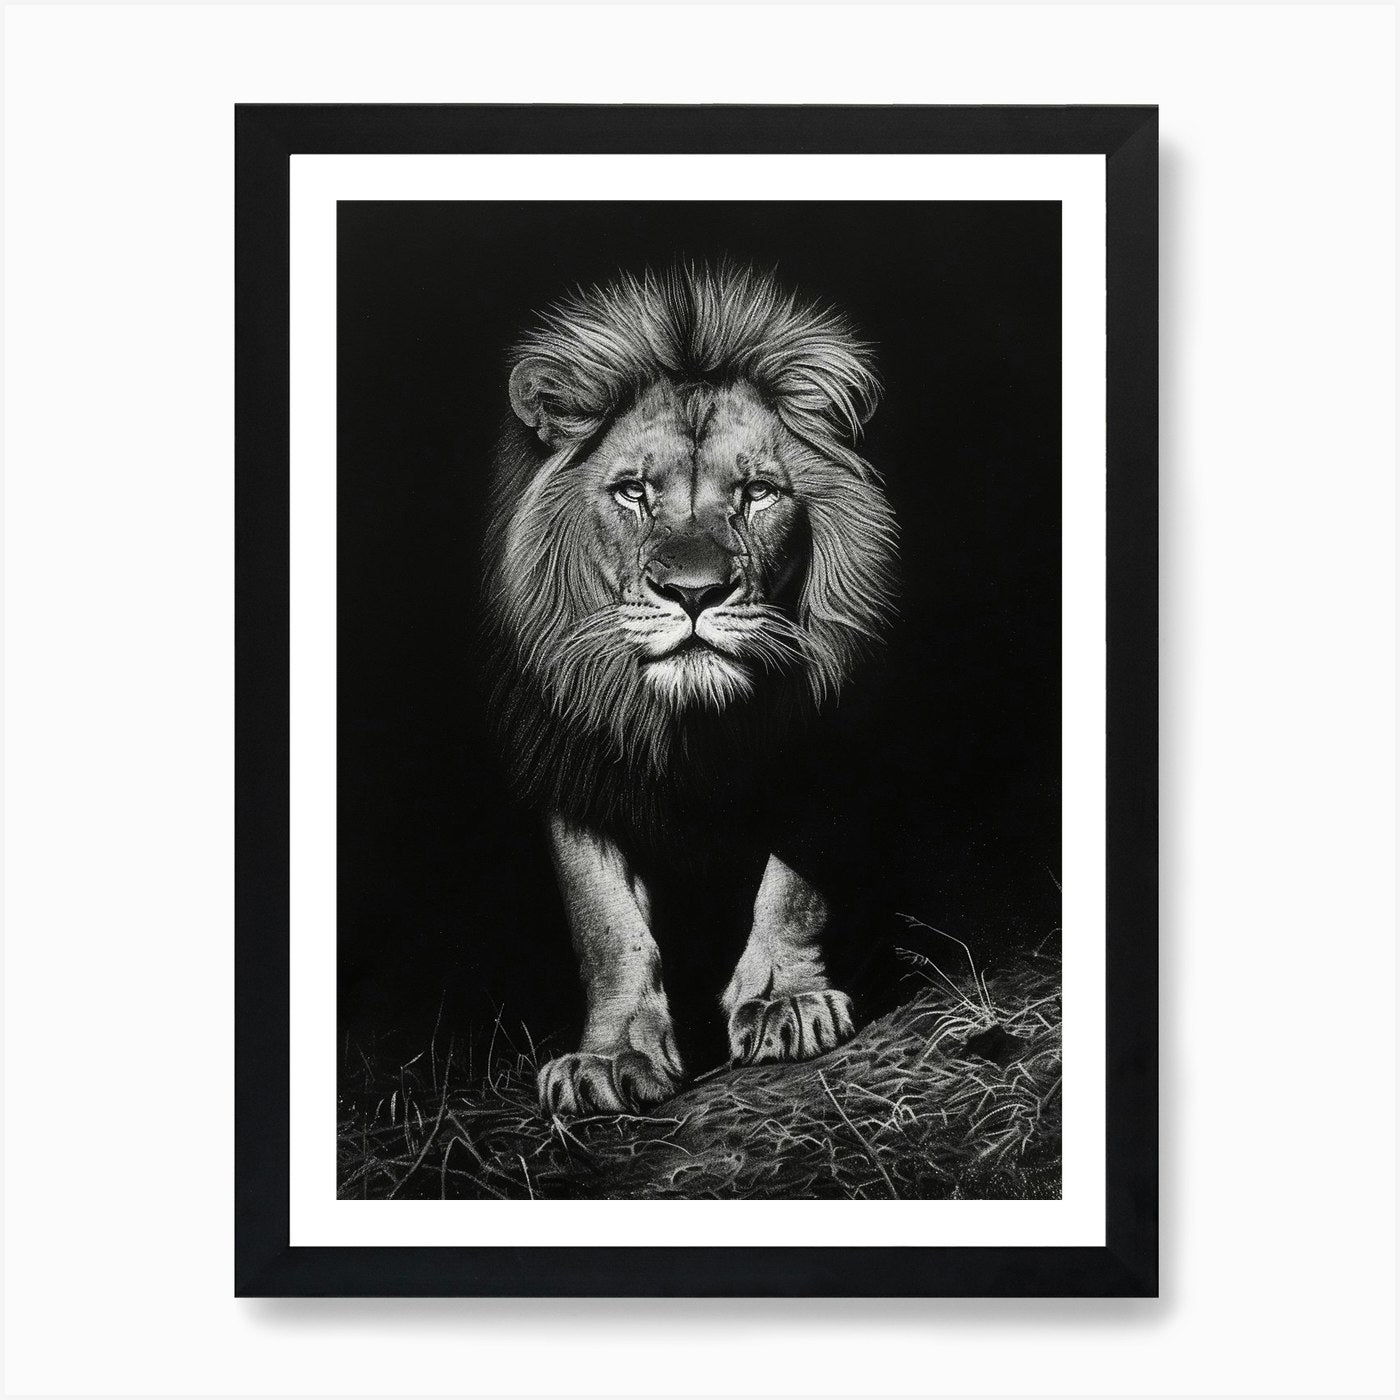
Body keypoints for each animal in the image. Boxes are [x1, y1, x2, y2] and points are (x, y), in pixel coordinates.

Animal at [483, 262, 898, 1116]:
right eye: (633, 492)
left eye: (758, 492)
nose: (695, 592)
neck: (699, 728)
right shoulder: (577, 759)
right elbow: (604, 920)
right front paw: (609, 1058)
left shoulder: (823, 739)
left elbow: (795, 884)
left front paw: (785, 1003)